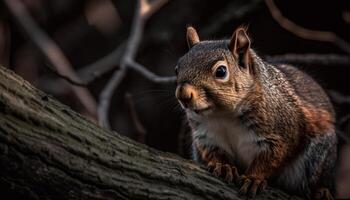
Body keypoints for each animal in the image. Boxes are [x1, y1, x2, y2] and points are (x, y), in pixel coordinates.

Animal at [176, 26, 338, 200]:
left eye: (221, 71)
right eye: (177, 69)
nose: (183, 95)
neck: (223, 115)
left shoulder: (281, 133)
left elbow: (270, 159)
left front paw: (254, 179)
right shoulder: (207, 137)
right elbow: (213, 153)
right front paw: (224, 166)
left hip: (318, 159)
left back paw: (322, 191)